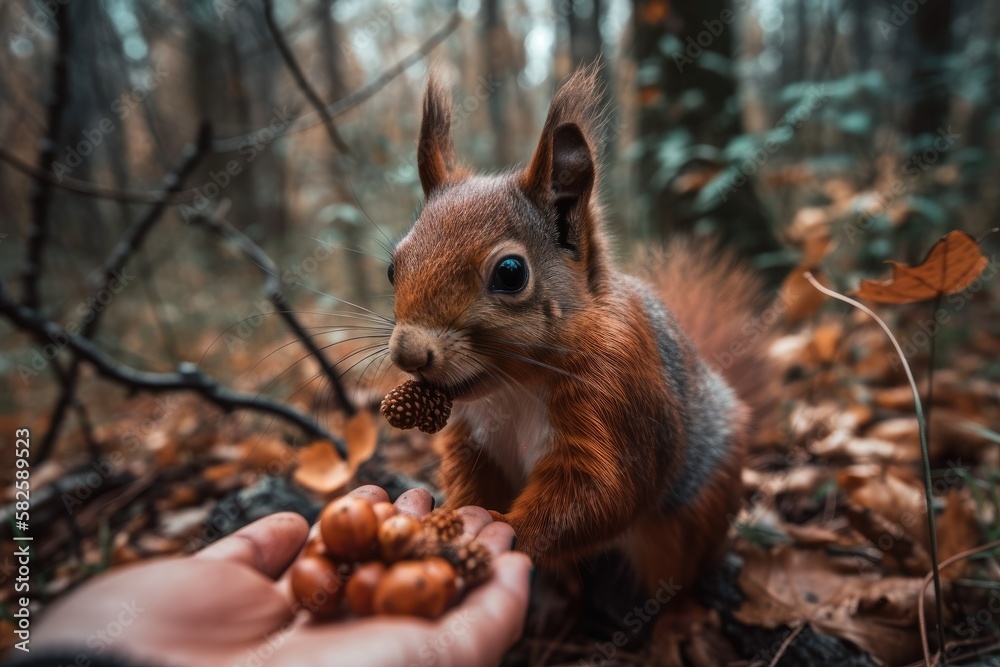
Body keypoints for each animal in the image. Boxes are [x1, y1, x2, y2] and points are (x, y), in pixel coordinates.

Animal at [386, 65, 768, 592]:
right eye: (392, 267)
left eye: (511, 272)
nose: (408, 354)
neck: (512, 388)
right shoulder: (473, 438)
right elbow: (474, 480)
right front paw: (451, 516)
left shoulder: (619, 401)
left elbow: (603, 491)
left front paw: (505, 529)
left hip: (697, 516)